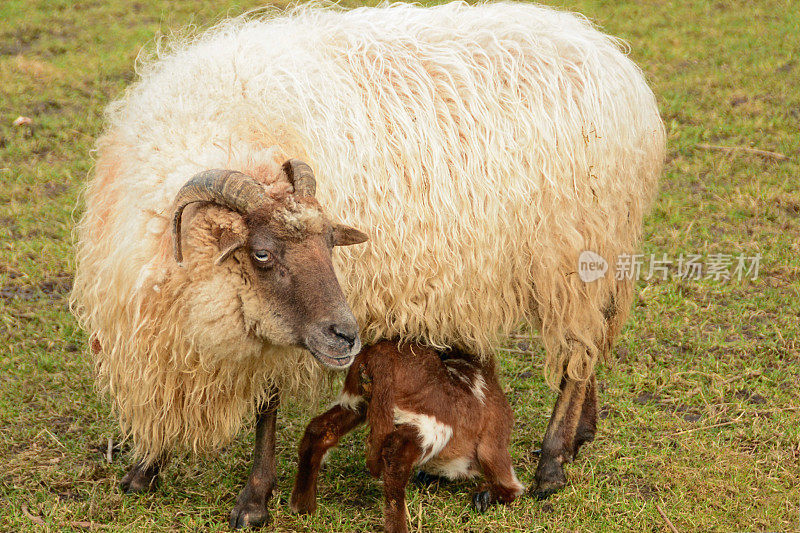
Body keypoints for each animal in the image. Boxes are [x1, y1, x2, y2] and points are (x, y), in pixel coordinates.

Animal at [72, 2, 664, 524]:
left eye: (333, 245)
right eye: (261, 253)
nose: (347, 336)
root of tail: (612, 59)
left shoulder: (285, 329)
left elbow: (267, 408)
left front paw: (254, 500)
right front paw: (145, 469)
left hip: (576, 252)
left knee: (577, 354)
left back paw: (552, 462)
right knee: (592, 342)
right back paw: (581, 434)